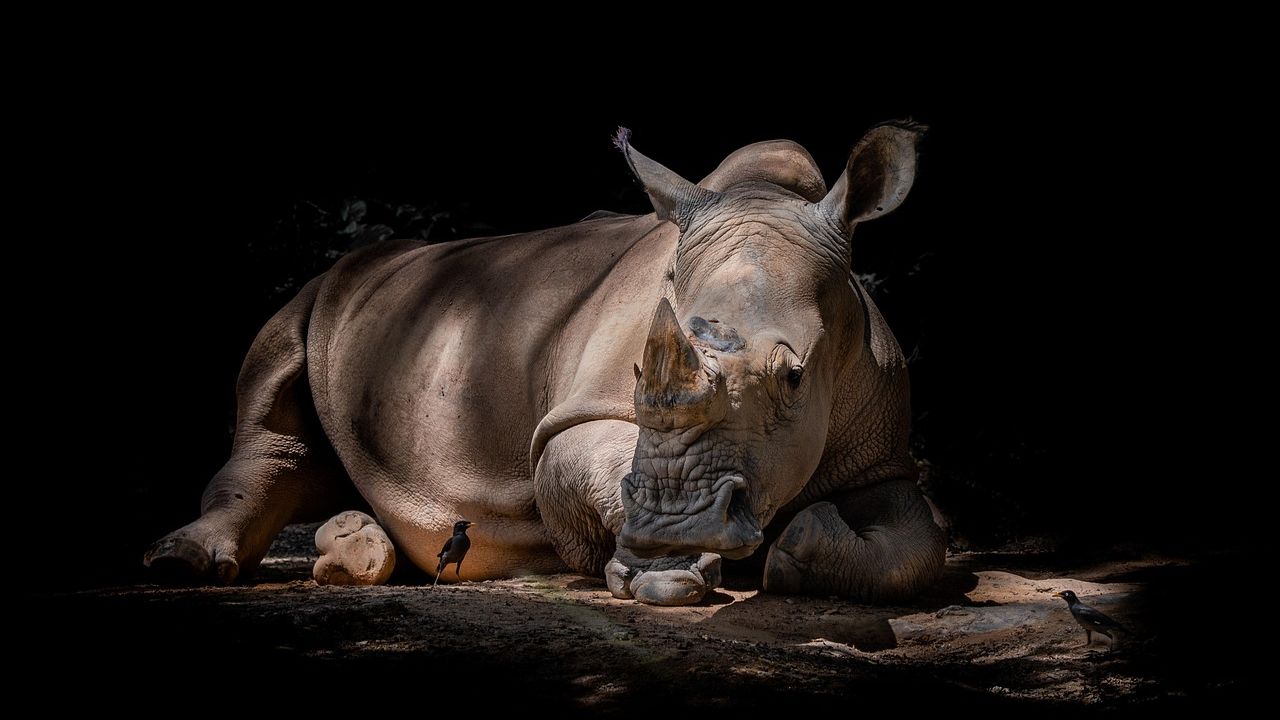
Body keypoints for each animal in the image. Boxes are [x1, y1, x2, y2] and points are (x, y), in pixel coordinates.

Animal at [145, 122, 945, 606]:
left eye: (794, 378)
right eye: (638, 374)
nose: (681, 525)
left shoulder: (883, 455)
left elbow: (919, 545)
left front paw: (793, 552)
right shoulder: (581, 416)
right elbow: (586, 461)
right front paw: (660, 574)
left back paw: (358, 552)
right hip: (322, 292)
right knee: (270, 412)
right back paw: (182, 564)